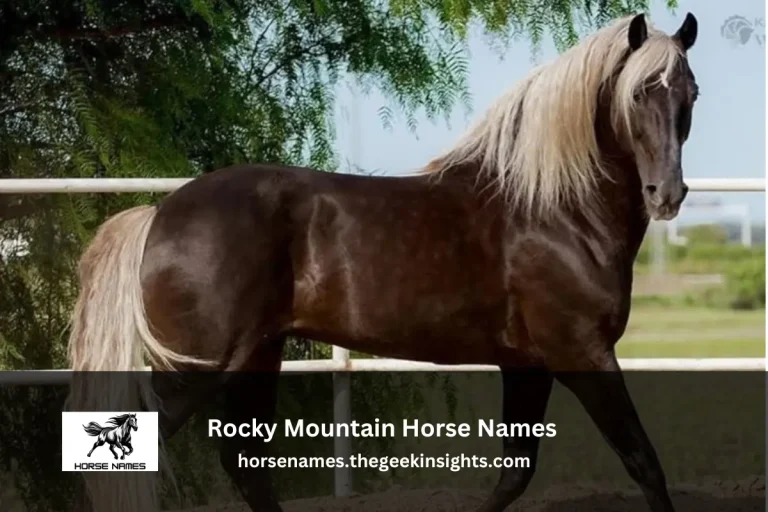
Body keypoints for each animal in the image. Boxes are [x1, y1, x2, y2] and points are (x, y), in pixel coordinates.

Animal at [66, 12, 699, 512]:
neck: (552, 208)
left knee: (246, 465)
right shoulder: (582, 353)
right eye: (639, 93)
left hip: (256, 357)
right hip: (198, 368)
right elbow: (644, 462)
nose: (666, 194)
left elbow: (515, 473)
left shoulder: (528, 365)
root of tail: (159, 213)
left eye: (690, 94)